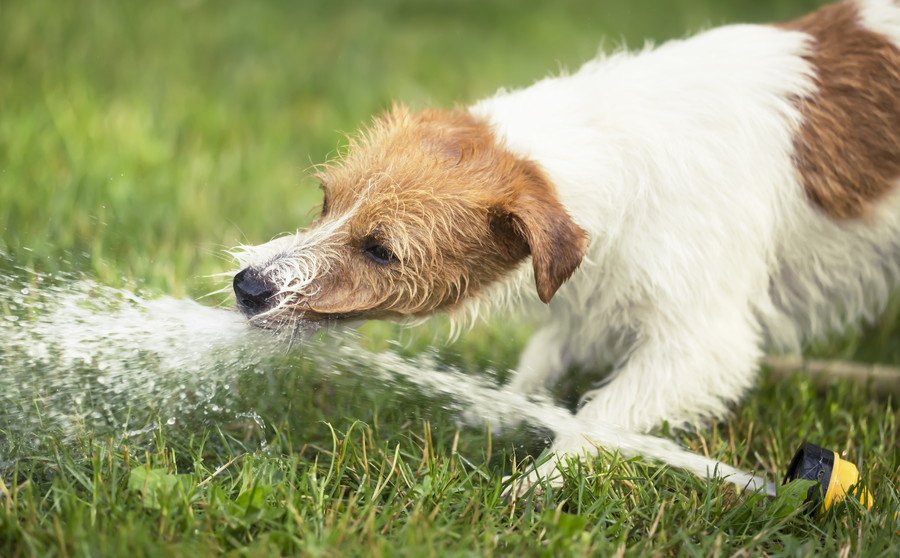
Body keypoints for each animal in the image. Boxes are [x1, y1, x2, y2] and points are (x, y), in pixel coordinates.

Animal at [234, 0, 900, 490]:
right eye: (327, 202)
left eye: (381, 250)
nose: (247, 285)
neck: (616, 152)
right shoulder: (592, 287)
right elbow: (544, 354)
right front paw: (502, 412)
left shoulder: (700, 345)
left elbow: (601, 415)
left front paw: (537, 481)